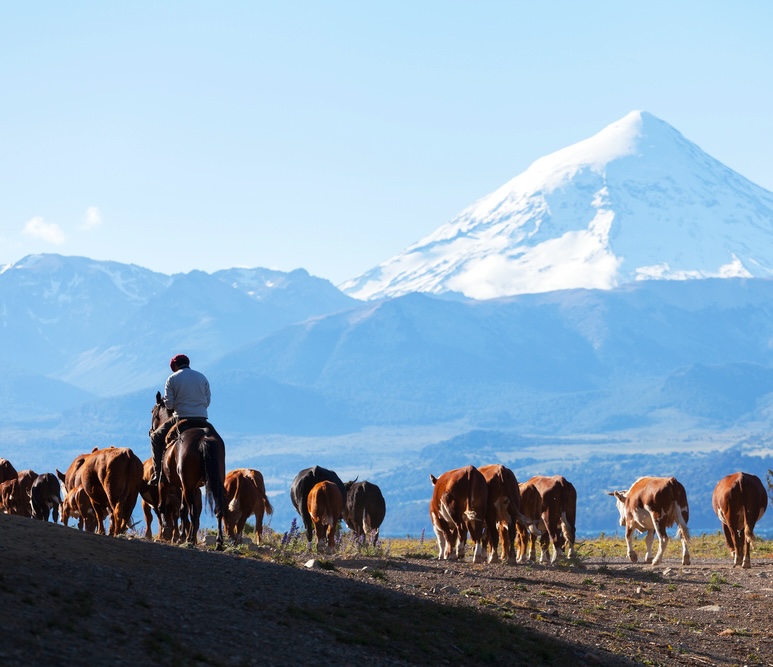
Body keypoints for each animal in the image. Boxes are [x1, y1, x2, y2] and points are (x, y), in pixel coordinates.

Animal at [149, 392, 225, 548]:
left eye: (152, 411)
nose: (150, 431)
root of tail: (204, 438)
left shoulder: (164, 481)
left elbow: (163, 506)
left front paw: (169, 532)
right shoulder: (189, 486)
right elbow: (182, 509)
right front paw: (180, 536)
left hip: (186, 485)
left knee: (193, 511)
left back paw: (190, 539)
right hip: (212, 482)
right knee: (217, 509)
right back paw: (218, 542)